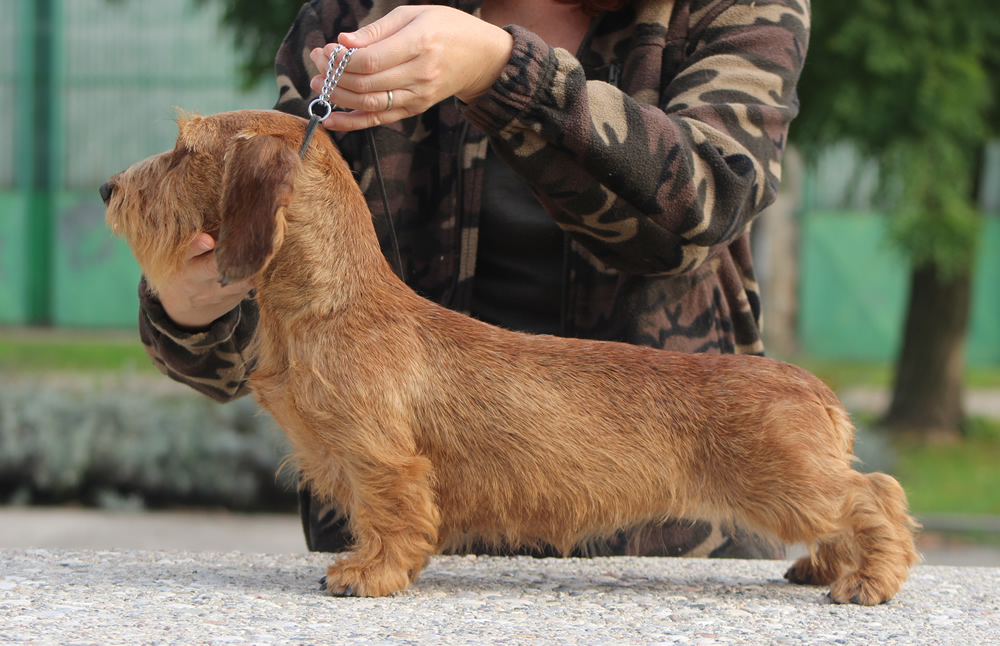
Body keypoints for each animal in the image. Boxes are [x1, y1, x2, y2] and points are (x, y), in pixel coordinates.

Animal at [105, 110, 916, 604]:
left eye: (183, 151)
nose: (109, 185)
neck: (332, 303)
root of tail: (818, 390)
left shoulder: (381, 456)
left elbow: (391, 514)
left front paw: (368, 574)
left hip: (788, 485)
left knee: (875, 494)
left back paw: (867, 581)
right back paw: (825, 565)